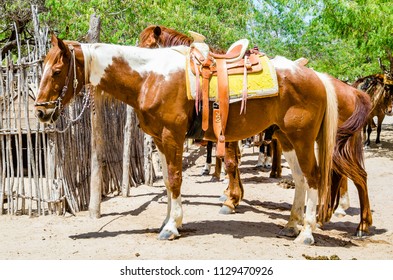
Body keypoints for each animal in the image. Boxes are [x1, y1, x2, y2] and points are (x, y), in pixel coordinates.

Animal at [34, 34, 370, 245]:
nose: (40, 111)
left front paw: (172, 226)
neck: (150, 77)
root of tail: (318, 77)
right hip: (286, 139)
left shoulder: (171, 136)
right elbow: (168, 182)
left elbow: (175, 179)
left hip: (301, 139)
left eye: (57, 70)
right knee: (300, 179)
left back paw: (308, 233)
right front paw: (169, 220)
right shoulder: (160, 139)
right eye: (43, 68)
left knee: (314, 178)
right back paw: (291, 225)